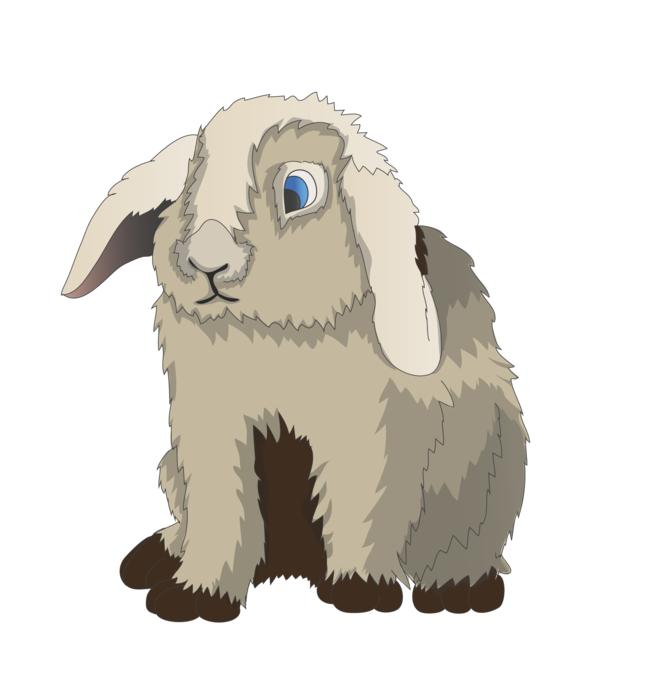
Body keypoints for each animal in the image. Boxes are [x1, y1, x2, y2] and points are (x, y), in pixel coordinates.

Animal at [63, 94, 527, 622]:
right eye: (187, 191)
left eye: (297, 191)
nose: (207, 263)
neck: (273, 333)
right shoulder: (209, 428)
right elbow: (221, 506)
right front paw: (196, 597)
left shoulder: (370, 434)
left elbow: (362, 503)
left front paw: (359, 592)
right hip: (170, 467)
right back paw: (155, 555)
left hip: (491, 467)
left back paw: (460, 592)